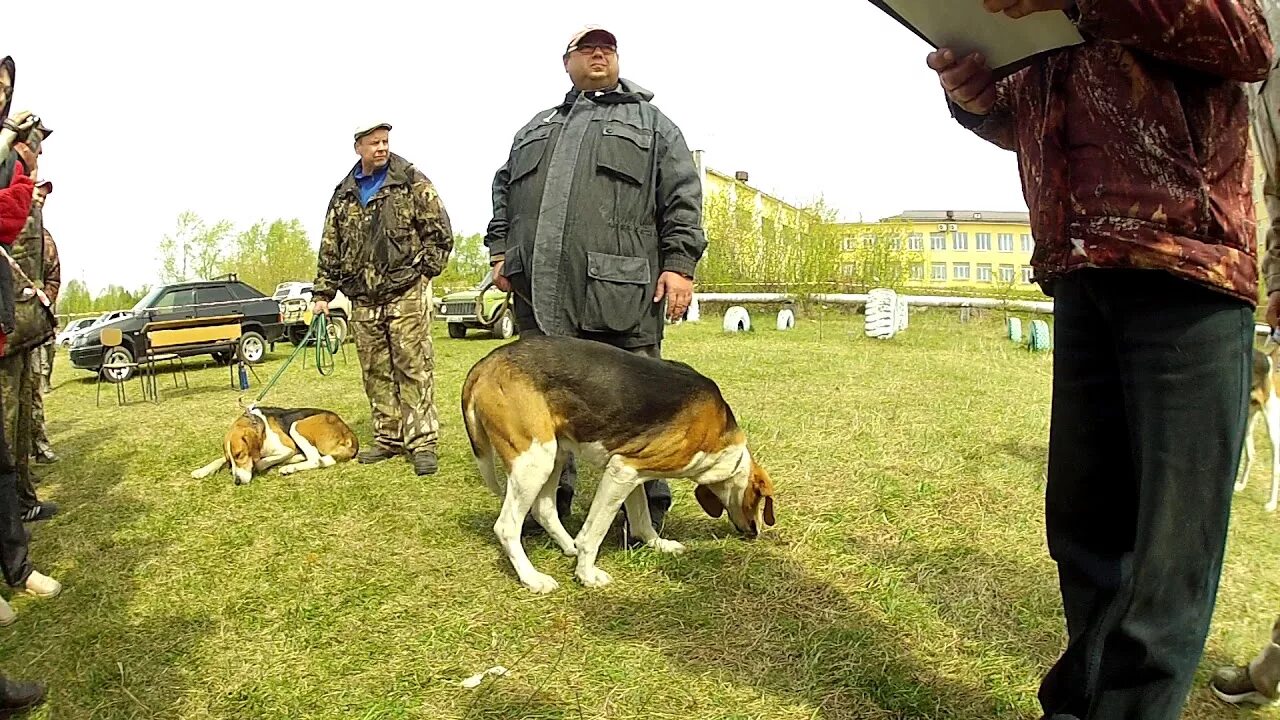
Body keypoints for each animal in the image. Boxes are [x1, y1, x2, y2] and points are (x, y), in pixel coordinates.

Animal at [190, 404, 360, 481]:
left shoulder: (288, 448)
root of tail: (348, 431)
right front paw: (202, 470)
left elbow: (260, 462)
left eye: (240, 455)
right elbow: (218, 460)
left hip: (296, 425)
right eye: (232, 459)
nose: (237, 482)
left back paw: (290, 466)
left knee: (316, 460)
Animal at [463, 333, 773, 591]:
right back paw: (533, 578)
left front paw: (659, 544)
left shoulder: (633, 472)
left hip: (553, 454)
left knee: (544, 508)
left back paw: (568, 547)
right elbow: (594, 534)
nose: (756, 532)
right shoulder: (621, 471)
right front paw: (587, 575)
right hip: (534, 459)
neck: (723, 444)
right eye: (759, 501)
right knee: (507, 527)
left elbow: (642, 519)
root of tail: (487, 362)